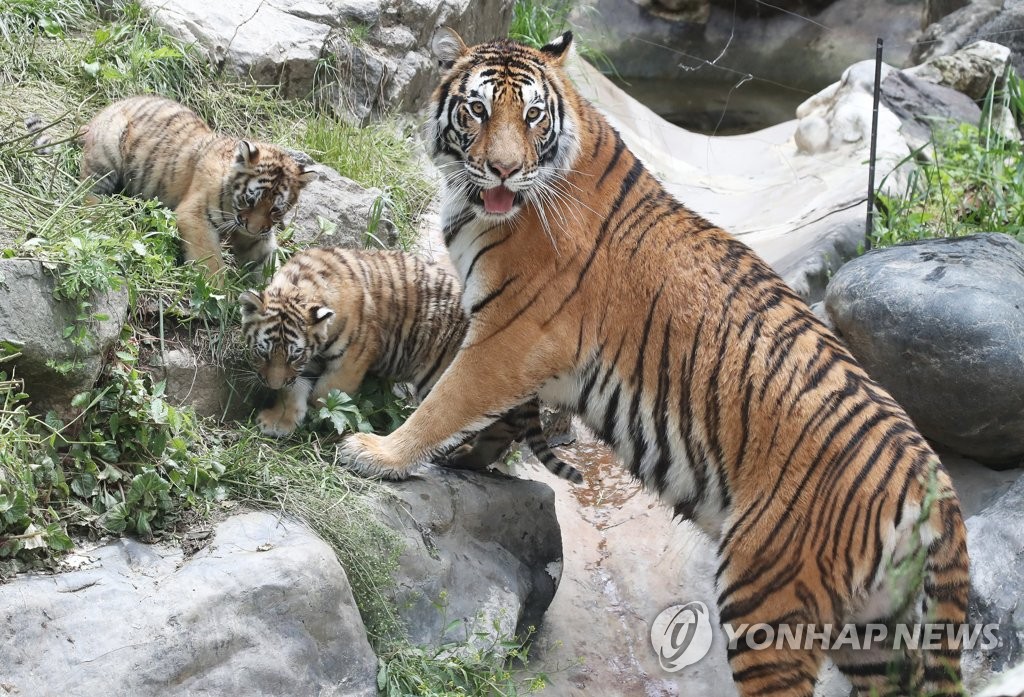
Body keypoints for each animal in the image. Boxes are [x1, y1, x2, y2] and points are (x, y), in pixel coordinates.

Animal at [80, 95, 315, 280]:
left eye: (275, 209)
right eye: (250, 201)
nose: (253, 229)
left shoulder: (257, 237)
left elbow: (268, 264)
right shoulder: (196, 215)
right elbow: (210, 259)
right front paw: (218, 292)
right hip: (107, 152)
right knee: (88, 190)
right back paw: (99, 216)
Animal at [342, 28, 966, 695]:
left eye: (532, 115)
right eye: (477, 110)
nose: (504, 169)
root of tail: (938, 497)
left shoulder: (510, 334)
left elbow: (447, 400)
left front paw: (379, 453)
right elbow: (493, 416)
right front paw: (467, 459)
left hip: (765, 591)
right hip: (875, 635)